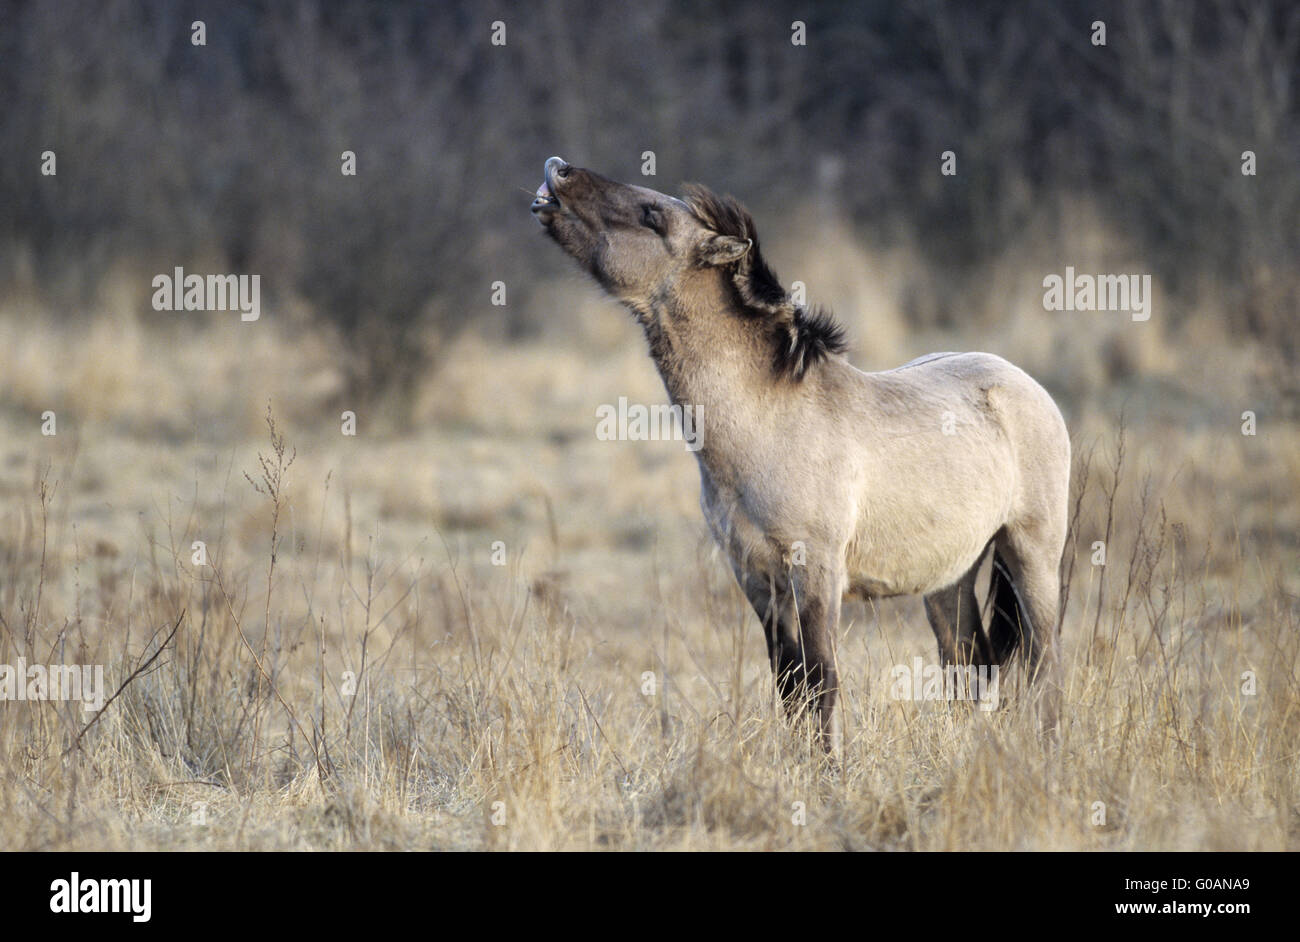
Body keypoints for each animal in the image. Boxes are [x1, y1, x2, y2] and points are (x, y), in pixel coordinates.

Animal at [527, 157, 1066, 753]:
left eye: (652, 215)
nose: (558, 171)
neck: (768, 422)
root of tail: (1021, 381)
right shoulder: (757, 580)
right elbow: (789, 685)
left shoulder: (817, 575)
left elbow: (822, 680)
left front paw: (830, 767)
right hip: (951, 577)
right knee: (970, 663)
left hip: (1032, 556)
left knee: (1044, 662)